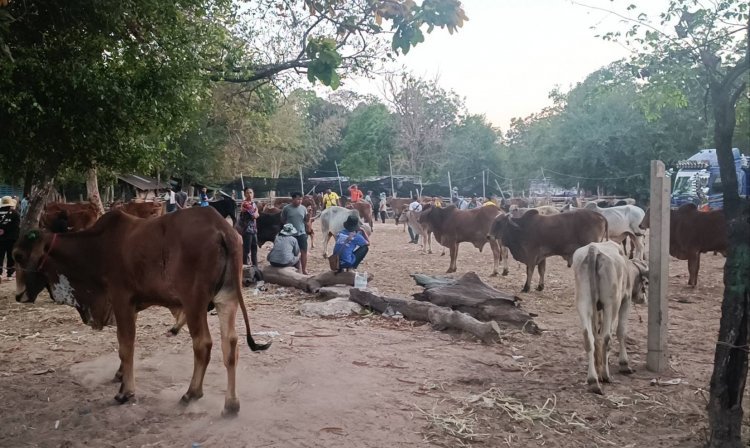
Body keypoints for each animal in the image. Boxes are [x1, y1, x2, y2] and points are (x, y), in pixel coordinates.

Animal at [13, 208, 270, 414]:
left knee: (203, 344)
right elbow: (124, 347)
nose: (18, 295)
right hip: (227, 298)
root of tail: (222, 229)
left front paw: (126, 392)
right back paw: (231, 404)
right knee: (231, 344)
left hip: (194, 302)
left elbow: (125, 345)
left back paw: (192, 393)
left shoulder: (120, 300)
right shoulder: (131, 306)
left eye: (19, 256)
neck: (97, 247)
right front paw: (120, 376)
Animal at [572, 242, 648, 396]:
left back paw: (593, 380)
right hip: (611, 304)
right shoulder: (625, 301)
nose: (644, 299)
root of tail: (593, 248)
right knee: (607, 337)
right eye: (646, 283)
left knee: (589, 338)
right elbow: (621, 332)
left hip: (583, 303)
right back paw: (605, 375)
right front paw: (624, 364)